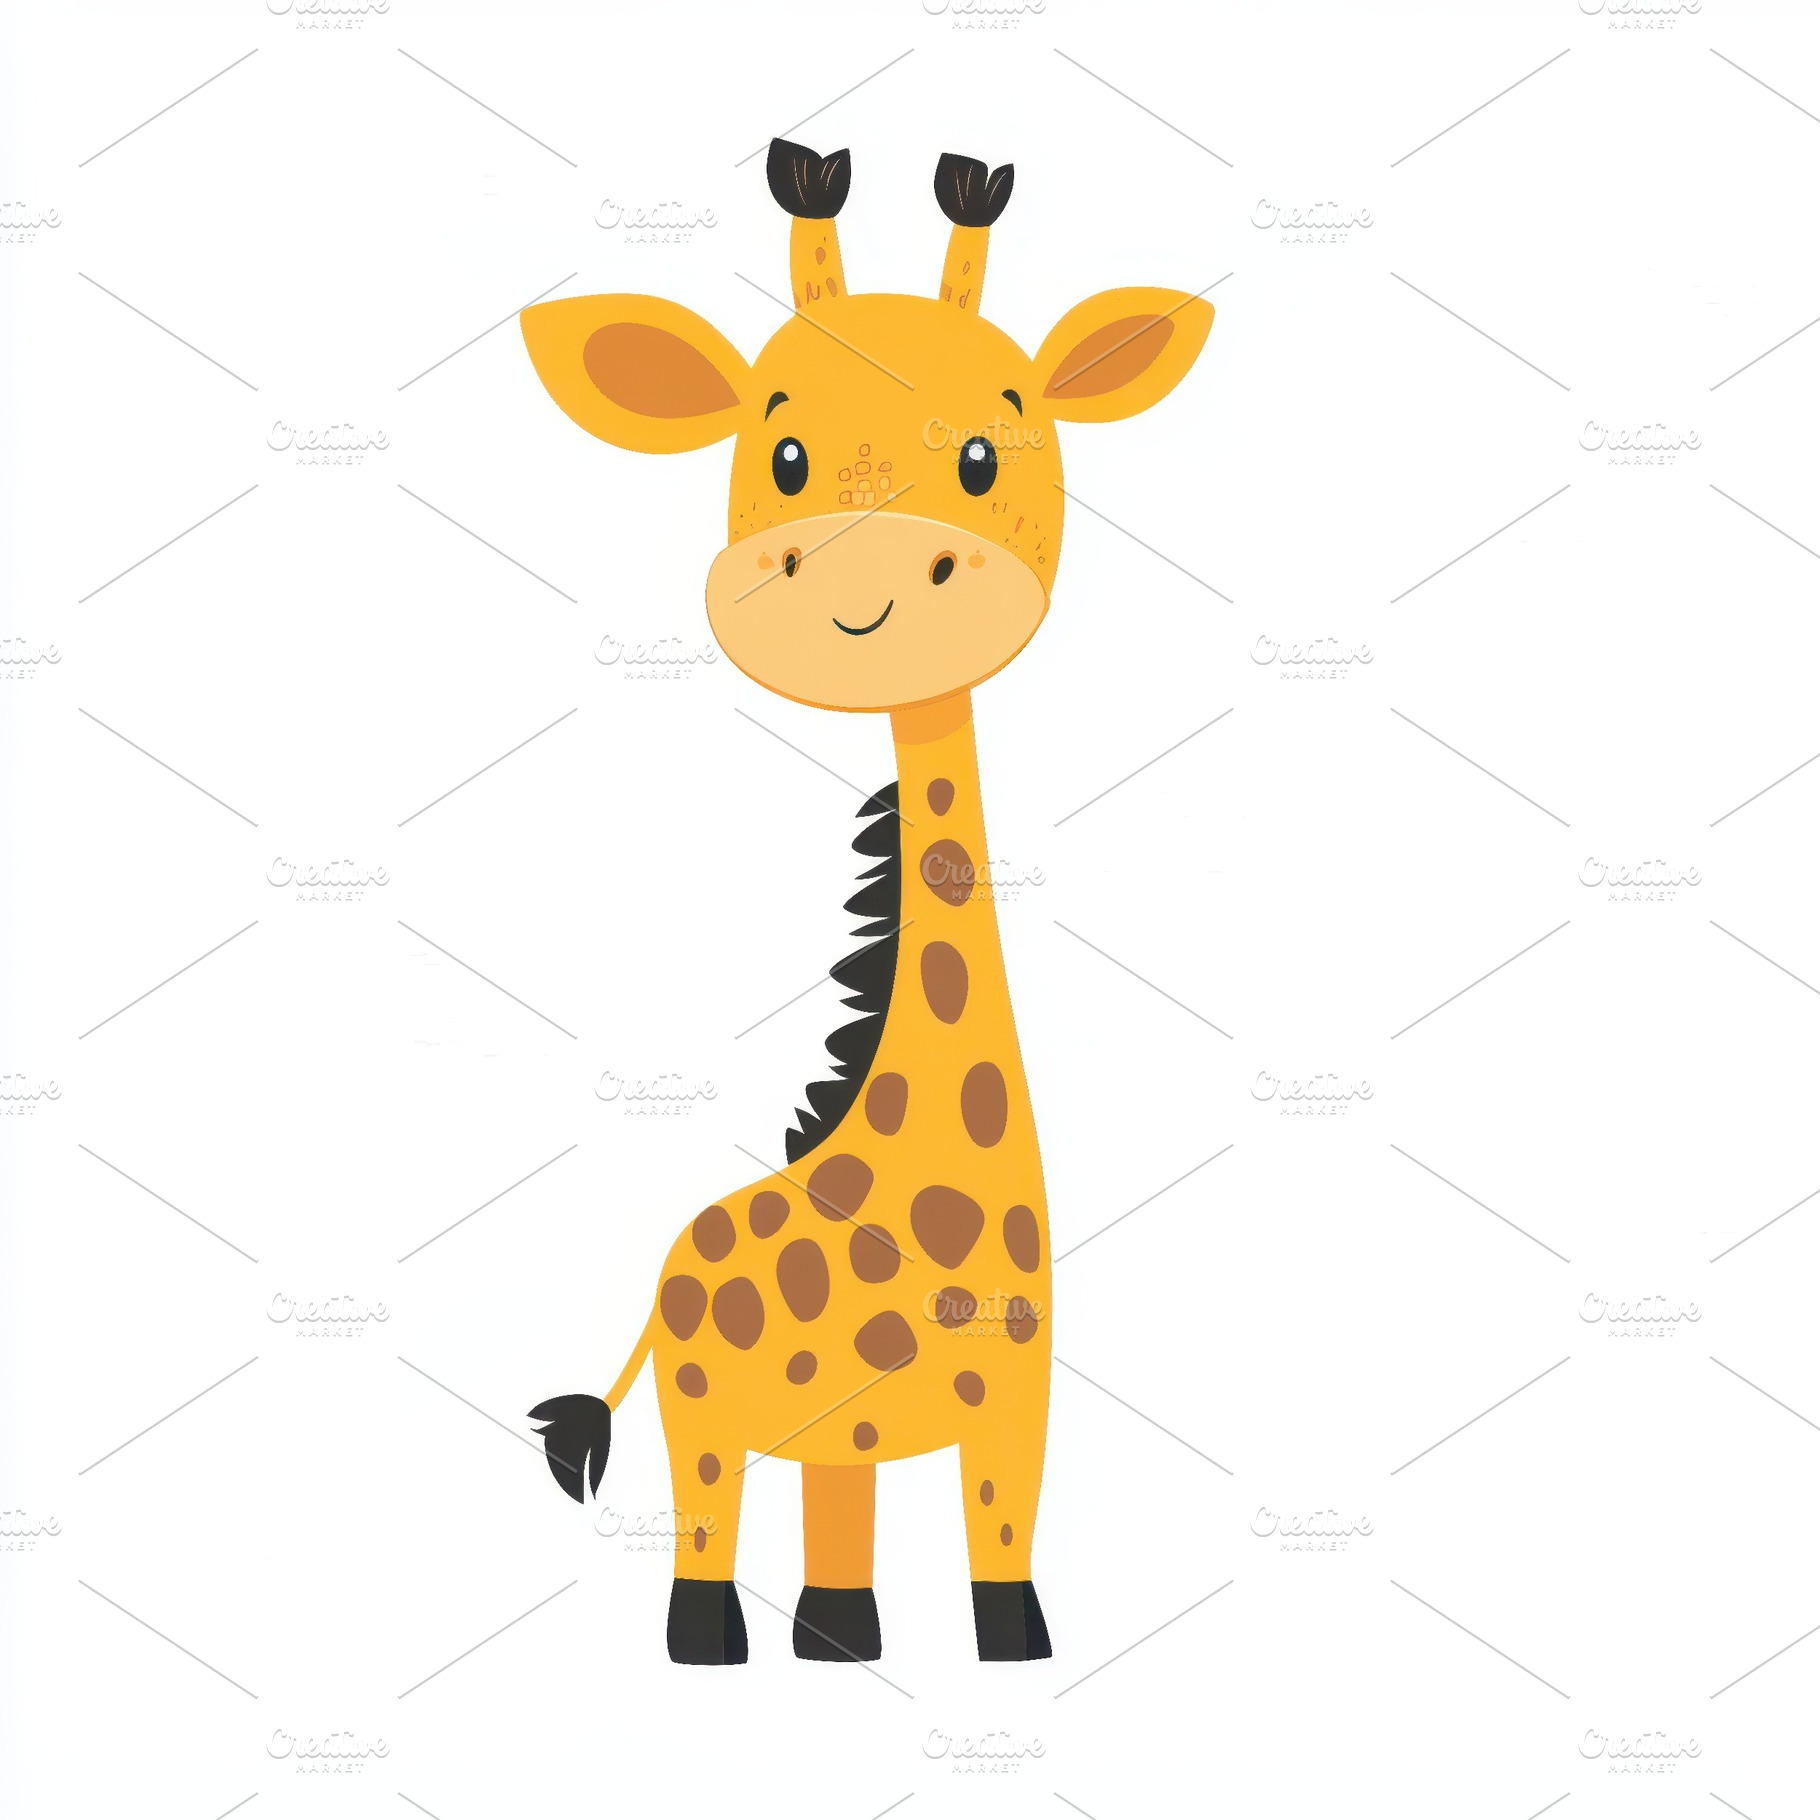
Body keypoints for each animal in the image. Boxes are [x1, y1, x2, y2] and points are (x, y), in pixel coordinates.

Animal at [522, 138, 1214, 1666]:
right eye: (778, 455)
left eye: (984, 454)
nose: (859, 573)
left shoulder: (1016, 1395)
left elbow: (1002, 1549)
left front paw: (1012, 1651)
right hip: (704, 1415)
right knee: (705, 1523)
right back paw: (709, 1646)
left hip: (829, 1431)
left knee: (833, 1527)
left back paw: (836, 1640)